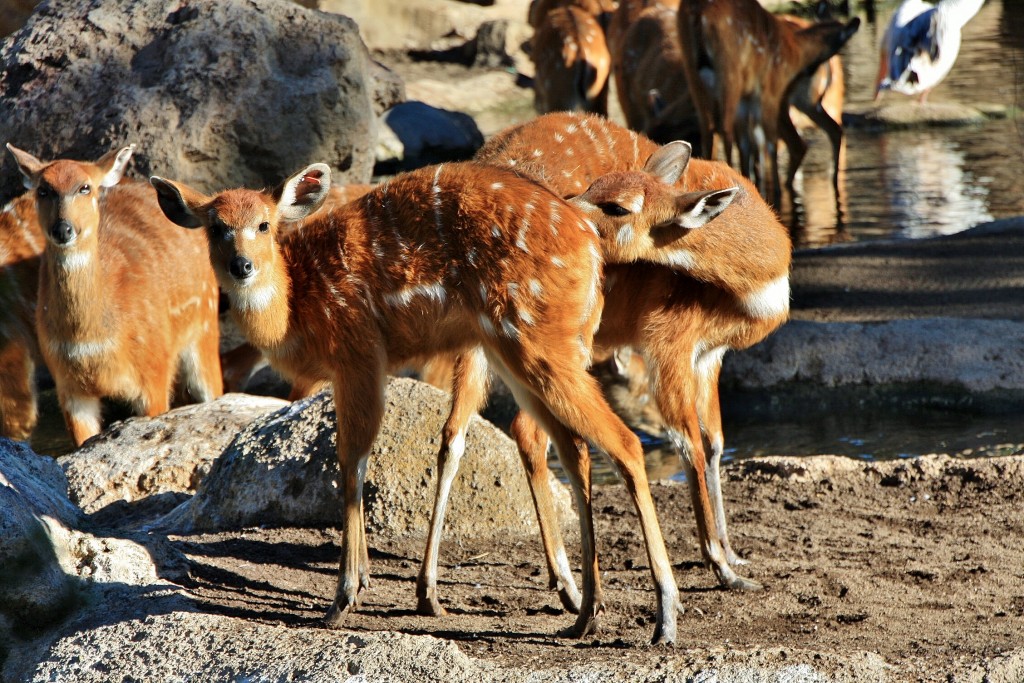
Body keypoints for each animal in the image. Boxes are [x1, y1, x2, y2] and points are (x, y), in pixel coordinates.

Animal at [8, 144, 222, 448]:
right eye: (43, 190)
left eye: (85, 187)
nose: (63, 229)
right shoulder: (68, 386)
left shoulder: (154, 372)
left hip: (204, 326)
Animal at [149, 161, 737, 647]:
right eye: (215, 226)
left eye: (265, 225)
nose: (242, 266)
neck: (299, 309)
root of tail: (592, 252)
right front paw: (369, 583)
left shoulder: (359, 353)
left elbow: (351, 458)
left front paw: (343, 598)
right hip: (520, 351)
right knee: (572, 448)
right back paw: (584, 613)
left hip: (537, 341)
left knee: (626, 443)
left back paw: (663, 618)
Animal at [415, 113, 790, 618]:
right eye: (593, 185)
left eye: (616, 204)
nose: (566, 206)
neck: (757, 284)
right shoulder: (669, 340)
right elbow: (688, 441)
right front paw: (724, 570)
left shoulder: (710, 353)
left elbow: (714, 442)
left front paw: (734, 554)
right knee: (530, 431)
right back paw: (572, 589)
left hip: (496, 335)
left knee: (463, 431)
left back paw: (441, 591)